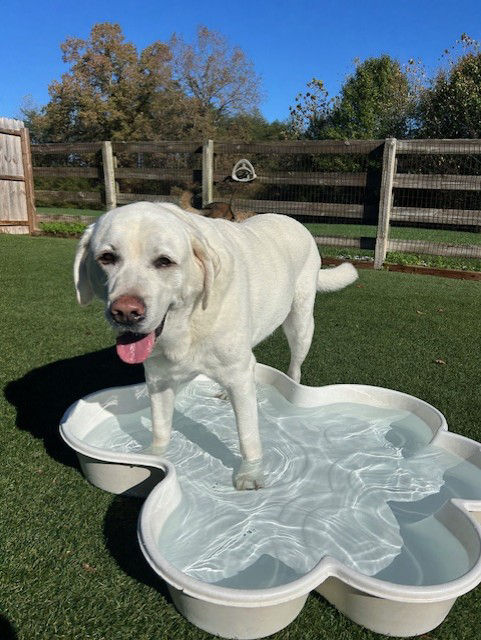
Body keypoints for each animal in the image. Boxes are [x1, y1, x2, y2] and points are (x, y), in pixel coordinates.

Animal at [73, 202, 354, 488]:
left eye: (164, 261)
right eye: (107, 258)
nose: (126, 313)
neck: (188, 320)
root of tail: (291, 219)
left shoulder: (237, 373)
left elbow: (248, 435)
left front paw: (250, 474)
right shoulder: (158, 377)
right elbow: (160, 426)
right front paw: (153, 455)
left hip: (300, 323)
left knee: (294, 364)